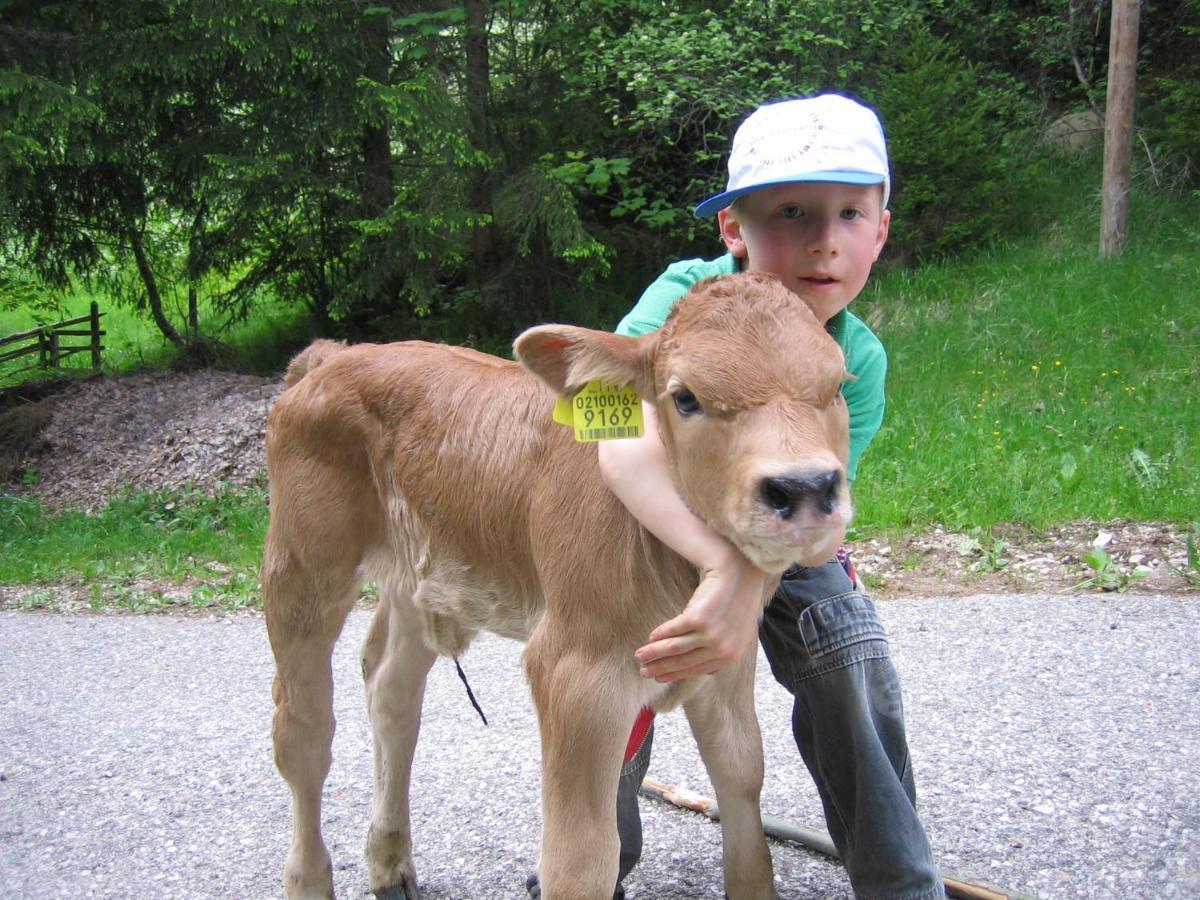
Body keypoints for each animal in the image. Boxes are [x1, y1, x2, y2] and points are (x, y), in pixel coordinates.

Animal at [265, 271, 854, 897]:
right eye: (685, 397)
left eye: (839, 386)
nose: (805, 487)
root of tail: (334, 356)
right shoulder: (576, 670)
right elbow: (580, 856)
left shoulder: (727, 657)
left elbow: (743, 783)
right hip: (301, 565)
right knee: (303, 732)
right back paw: (310, 876)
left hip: (418, 578)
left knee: (391, 690)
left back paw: (390, 859)